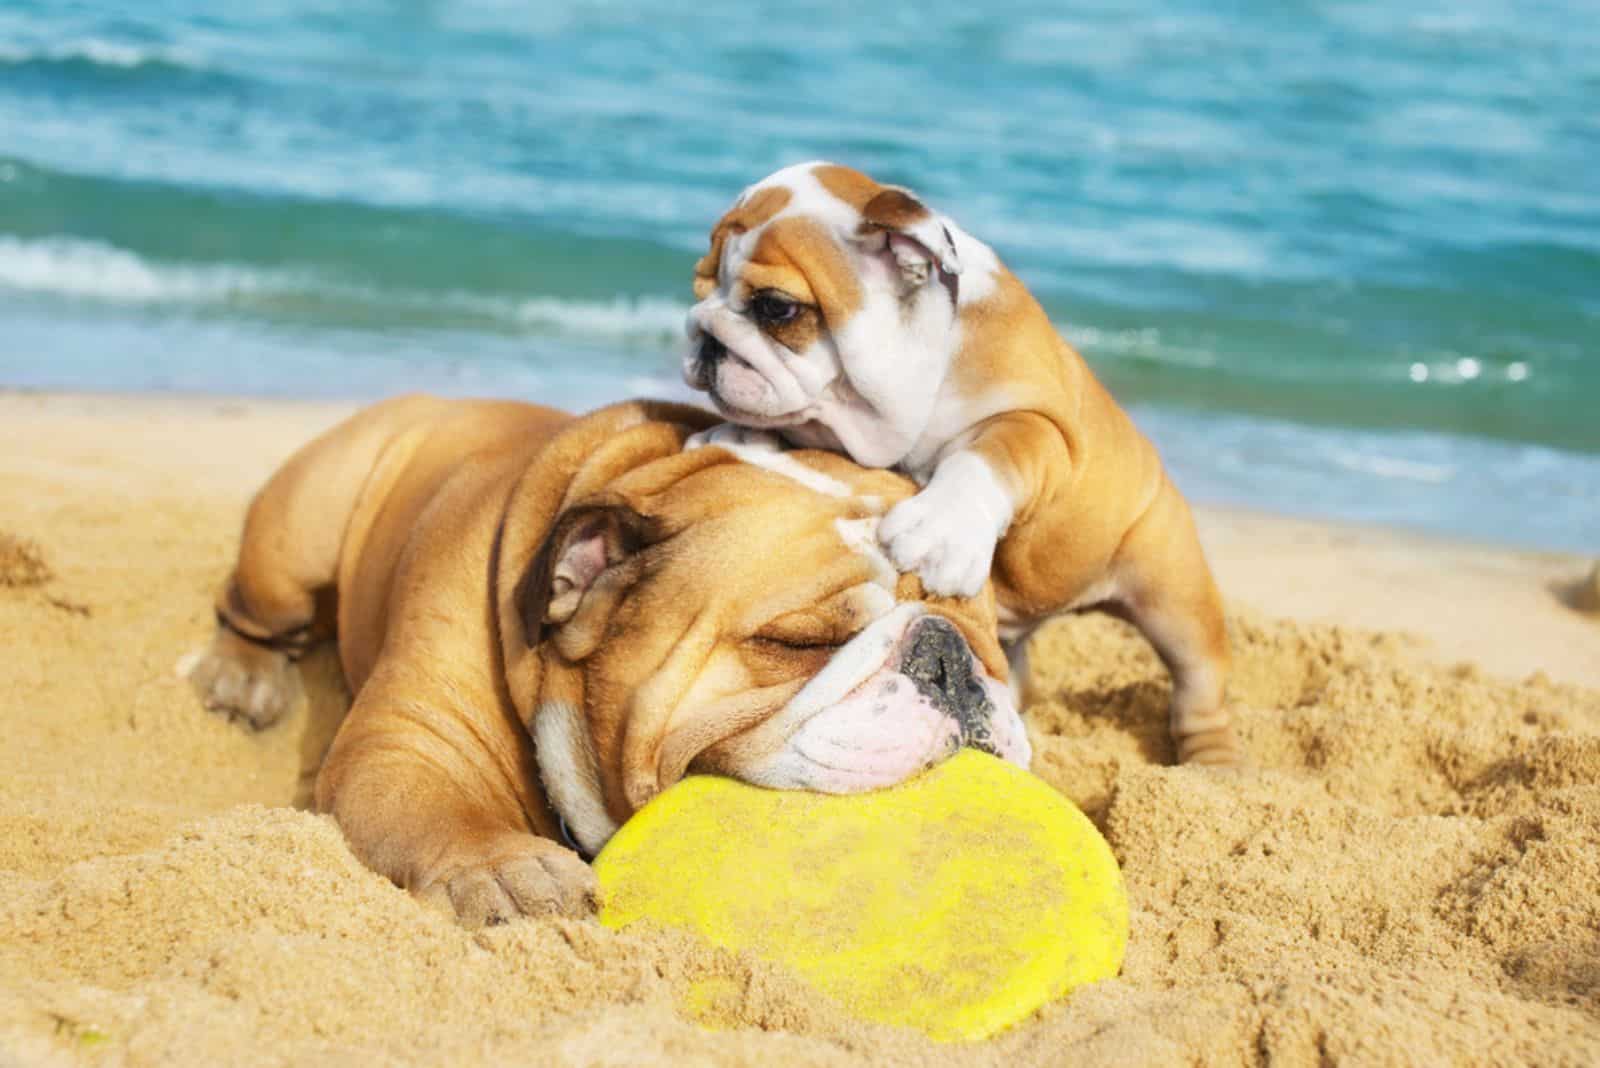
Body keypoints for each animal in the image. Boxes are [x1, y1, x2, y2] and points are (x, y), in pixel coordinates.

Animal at [187, 396, 1030, 920]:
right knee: (251, 606)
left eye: (994, 646)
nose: (949, 658)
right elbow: (436, 810)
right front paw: (505, 868)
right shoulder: (406, 741)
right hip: (294, 549)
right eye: (798, 643)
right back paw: (241, 676)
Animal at [678, 163, 1235, 764]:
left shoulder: (1038, 424)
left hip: (1171, 590)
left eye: (776, 308)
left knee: (1199, 681)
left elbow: (986, 458)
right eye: (700, 288)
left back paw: (1214, 765)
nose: (703, 332)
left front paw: (941, 529)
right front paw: (734, 434)